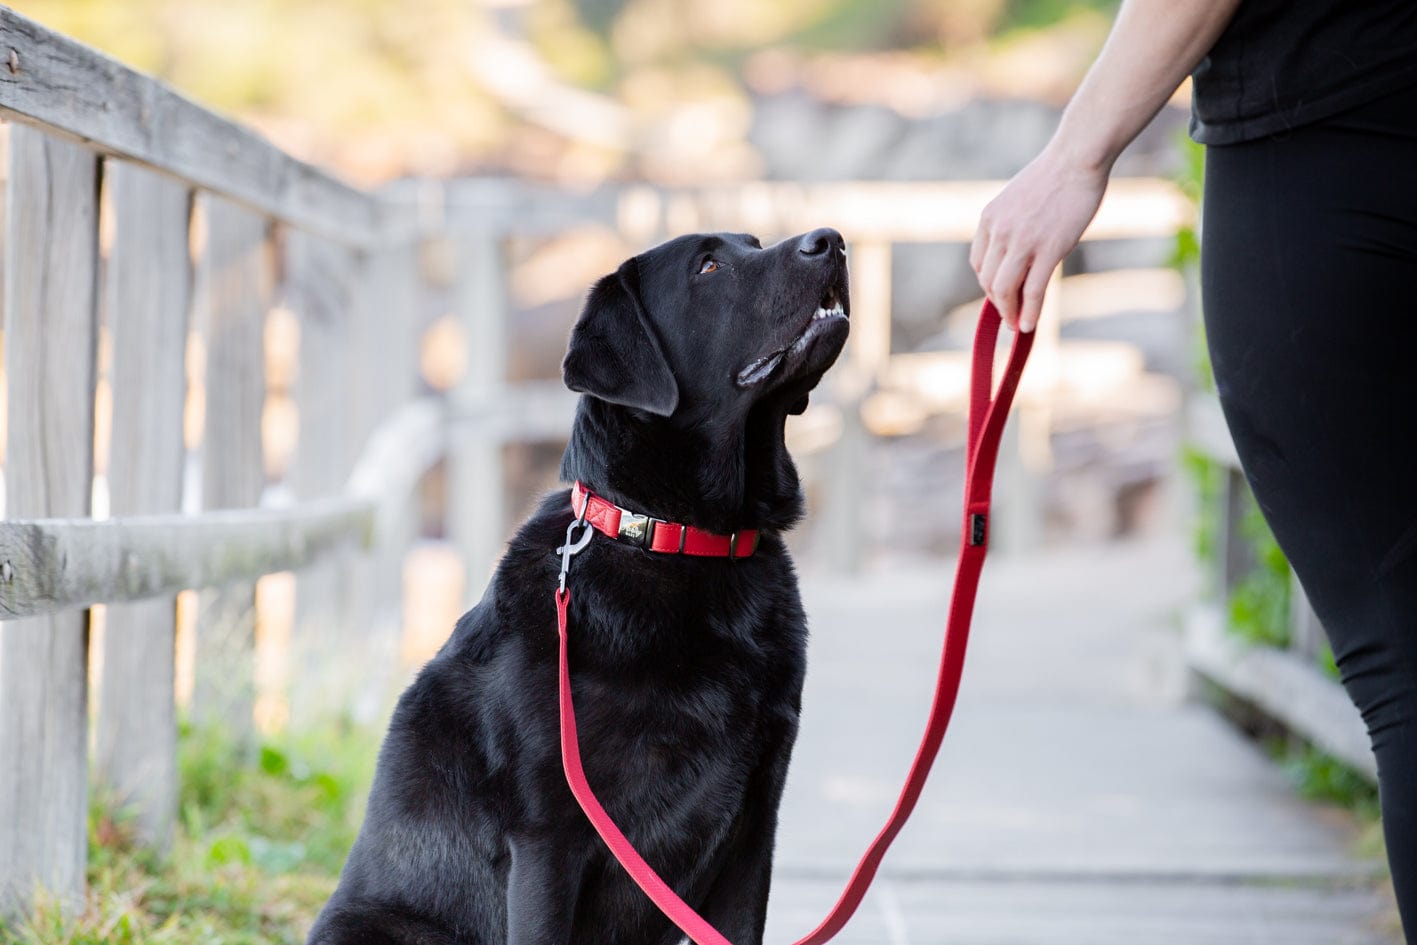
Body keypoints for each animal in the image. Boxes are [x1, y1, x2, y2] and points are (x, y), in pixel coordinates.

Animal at [313, 226, 838, 945]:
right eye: (708, 266)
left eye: (753, 242)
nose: (831, 241)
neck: (681, 542)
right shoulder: (549, 837)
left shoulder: (755, 825)